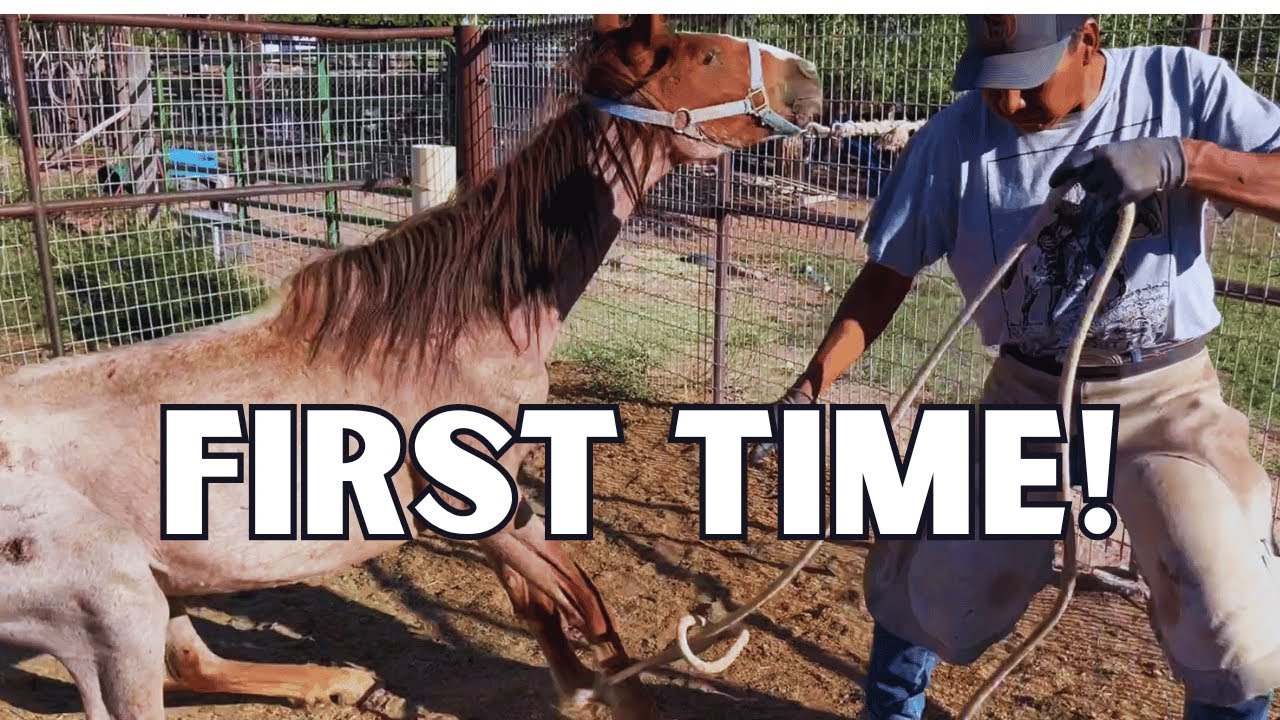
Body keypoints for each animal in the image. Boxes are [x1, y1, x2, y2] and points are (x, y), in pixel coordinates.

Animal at [0, 14, 822, 720]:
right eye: (706, 56)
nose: (809, 78)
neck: (460, 331)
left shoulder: (504, 496)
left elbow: (541, 603)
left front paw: (579, 689)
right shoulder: (471, 502)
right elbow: (583, 599)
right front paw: (616, 697)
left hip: (161, 591)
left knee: (195, 665)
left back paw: (337, 680)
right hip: (117, 613)